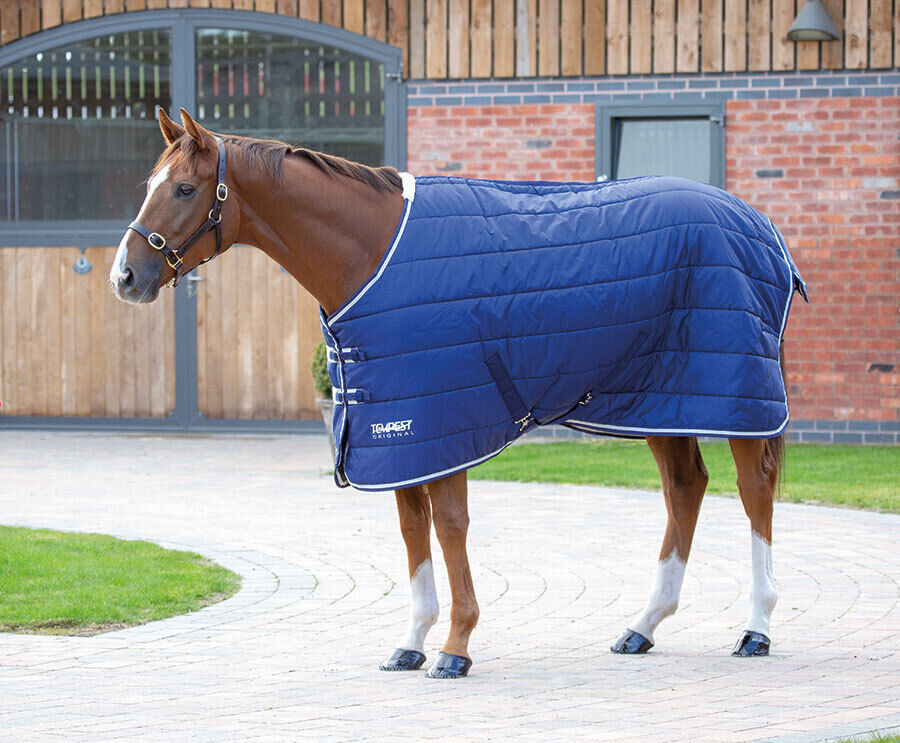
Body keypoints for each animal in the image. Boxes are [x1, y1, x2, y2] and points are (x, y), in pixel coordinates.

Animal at [111, 108, 806, 678]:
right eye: (147, 184)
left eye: (184, 188)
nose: (125, 277)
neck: (373, 252)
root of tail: (760, 223)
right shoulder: (397, 432)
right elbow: (412, 529)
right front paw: (412, 641)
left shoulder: (443, 421)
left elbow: (448, 527)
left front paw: (456, 647)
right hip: (663, 398)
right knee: (685, 487)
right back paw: (643, 626)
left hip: (736, 397)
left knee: (754, 490)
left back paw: (757, 628)